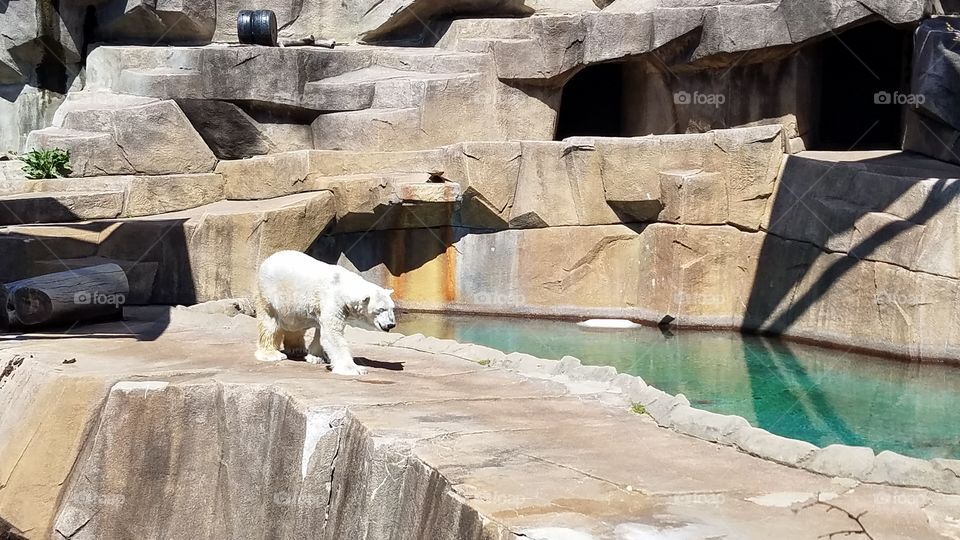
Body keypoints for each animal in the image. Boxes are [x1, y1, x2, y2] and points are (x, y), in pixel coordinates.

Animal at [254, 250, 396, 375]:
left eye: (392, 308)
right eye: (381, 309)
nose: (391, 324)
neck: (342, 285)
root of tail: (267, 259)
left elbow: (322, 332)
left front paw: (317, 357)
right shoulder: (333, 300)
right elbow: (332, 334)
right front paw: (355, 369)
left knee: (295, 323)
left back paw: (297, 348)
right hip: (270, 294)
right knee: (270, 323)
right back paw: (272, 354)